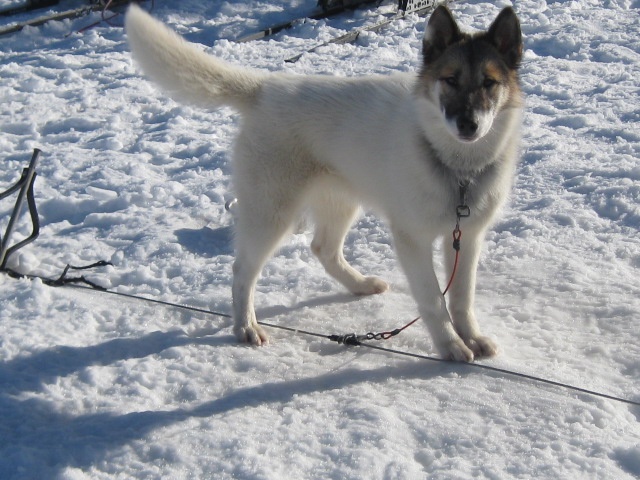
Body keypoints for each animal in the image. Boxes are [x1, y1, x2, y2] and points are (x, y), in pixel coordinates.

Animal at [126, 4, 524, 360]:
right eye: (450, 80)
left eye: (489, 83)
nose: (468, 124)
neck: (457, 169)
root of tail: (266, 87)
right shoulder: (413, 240)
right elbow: (432, 301)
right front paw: (449, 346)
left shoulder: (466, 238)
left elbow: (461, 298)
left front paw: (471, 337)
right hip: (272, 214)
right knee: (243, 270)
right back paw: (246, 326)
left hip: (340, 202)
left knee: (323, 249)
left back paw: (359, 285)